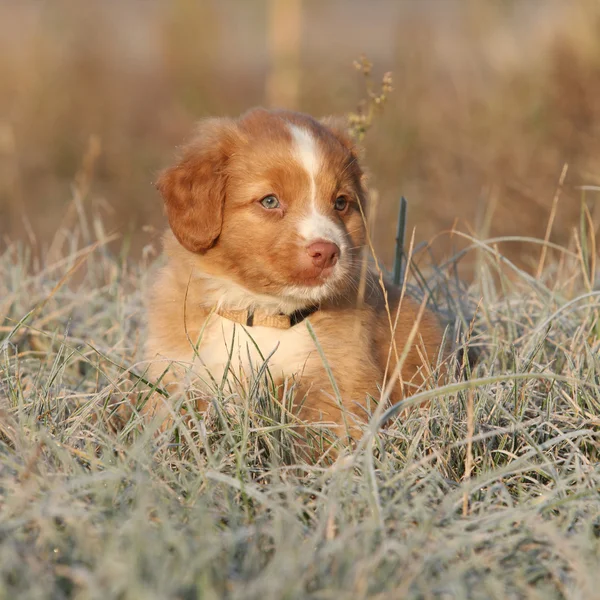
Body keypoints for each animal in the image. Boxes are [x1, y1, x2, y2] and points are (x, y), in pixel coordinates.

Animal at [144, 106, 446, 436]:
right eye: (270, 201)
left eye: (341, 203)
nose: (327, 252)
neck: (262, 314)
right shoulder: (175, 374)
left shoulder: (339, 385)